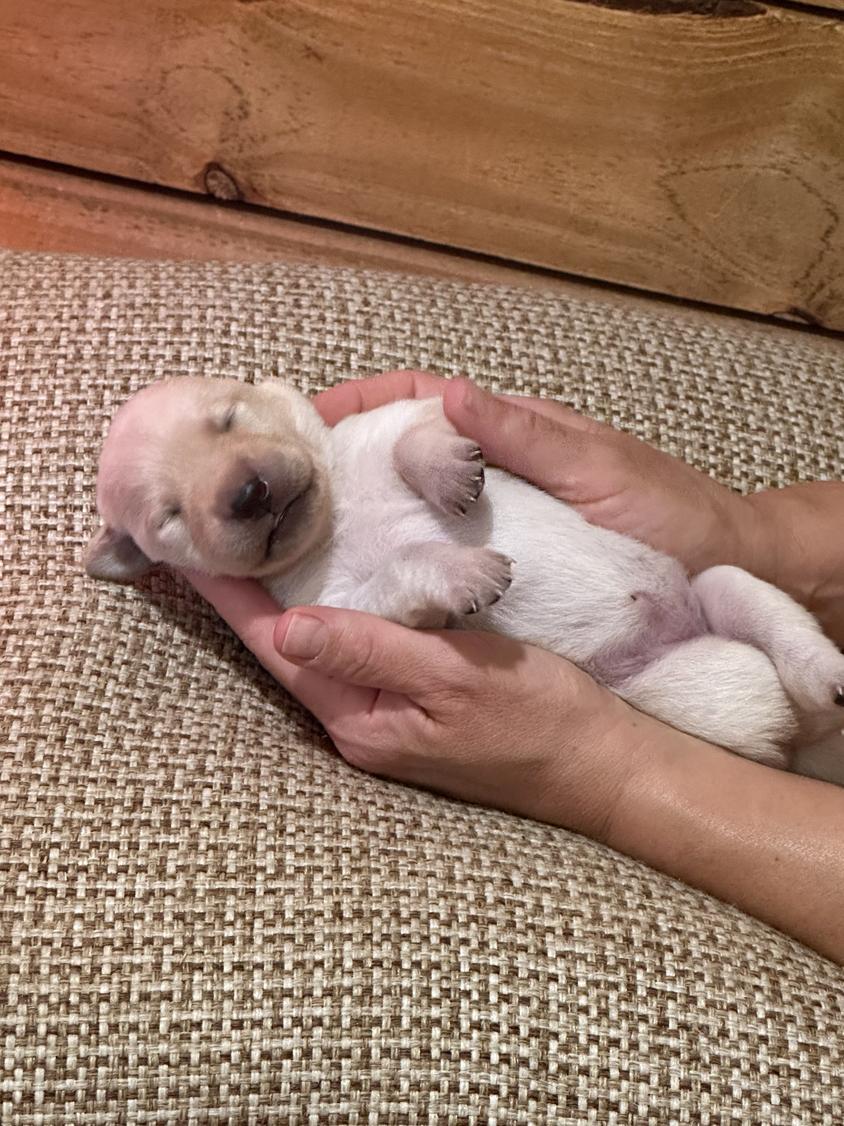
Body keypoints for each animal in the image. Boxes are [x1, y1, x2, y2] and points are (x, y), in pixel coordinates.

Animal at [86, 378, 844, 783]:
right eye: (169, 514)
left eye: (228, 417)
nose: (246, 493)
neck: (339, 512)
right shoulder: (337, 602)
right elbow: (401, 573)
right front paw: (468, 572)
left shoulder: (406, 413)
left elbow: (420, 430)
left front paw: (449, 477)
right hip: (686, 687)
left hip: (717, 585)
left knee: (772, 621)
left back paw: (826, 674)